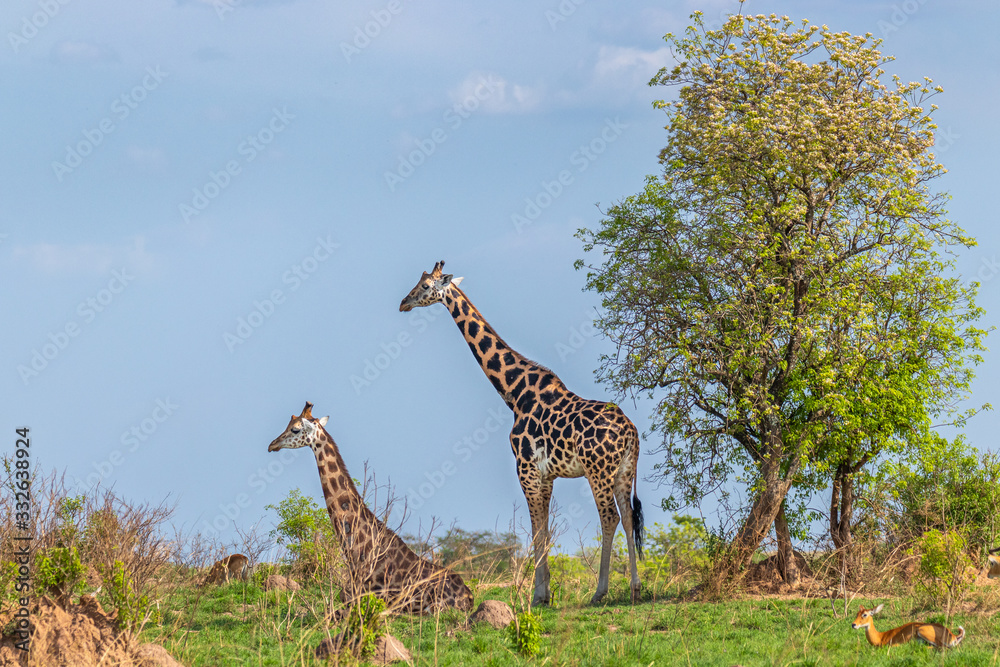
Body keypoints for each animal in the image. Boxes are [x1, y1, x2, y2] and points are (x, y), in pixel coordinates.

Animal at [399, 261, 644, 605]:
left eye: (424, 286)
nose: (403, 303)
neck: (514, 393)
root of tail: (631, 432)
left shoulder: (526, 469)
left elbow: (536, 529)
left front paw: (539, 595)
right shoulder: (546, 474)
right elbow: (544, 528)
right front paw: (544, 592)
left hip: (598, 470)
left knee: (609, 517)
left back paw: (600, 591)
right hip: (623, 470)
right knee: (628, 515)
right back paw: (635, 588)